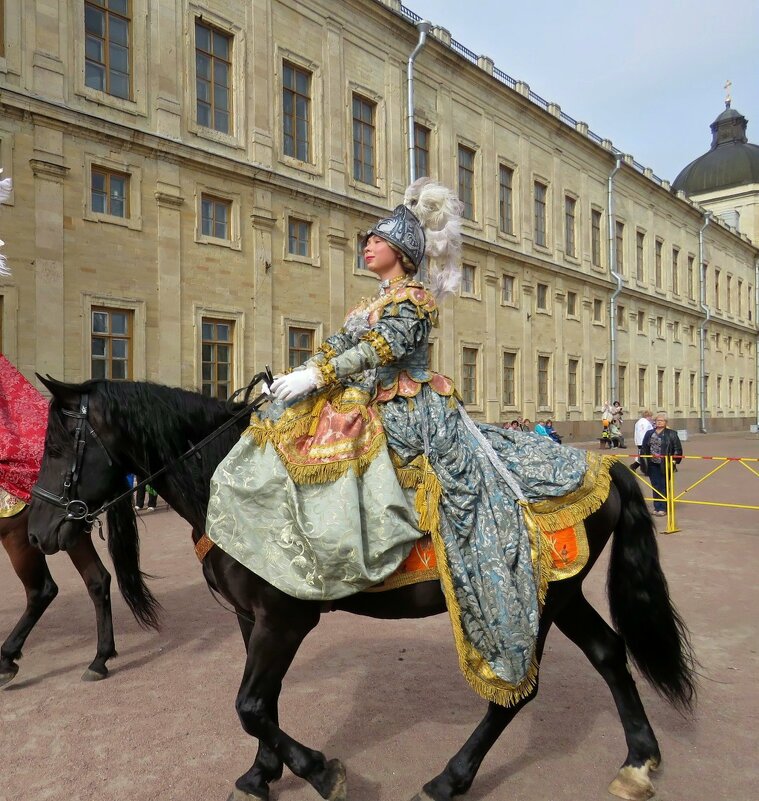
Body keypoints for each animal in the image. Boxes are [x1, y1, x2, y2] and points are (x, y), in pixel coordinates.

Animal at [28, 376, 696, 800]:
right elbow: (261, 703)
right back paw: (639, 761)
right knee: (609, 654)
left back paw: (450, 779)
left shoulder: (285, 618)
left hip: (525, 600)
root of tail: (606, 466)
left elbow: (250, 705)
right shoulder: (251, 618)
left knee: (517, 693)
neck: (223, 478)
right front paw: (262, 774)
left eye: (56, 444)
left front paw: (318, 771)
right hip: (562, 593)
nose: (36, 531)